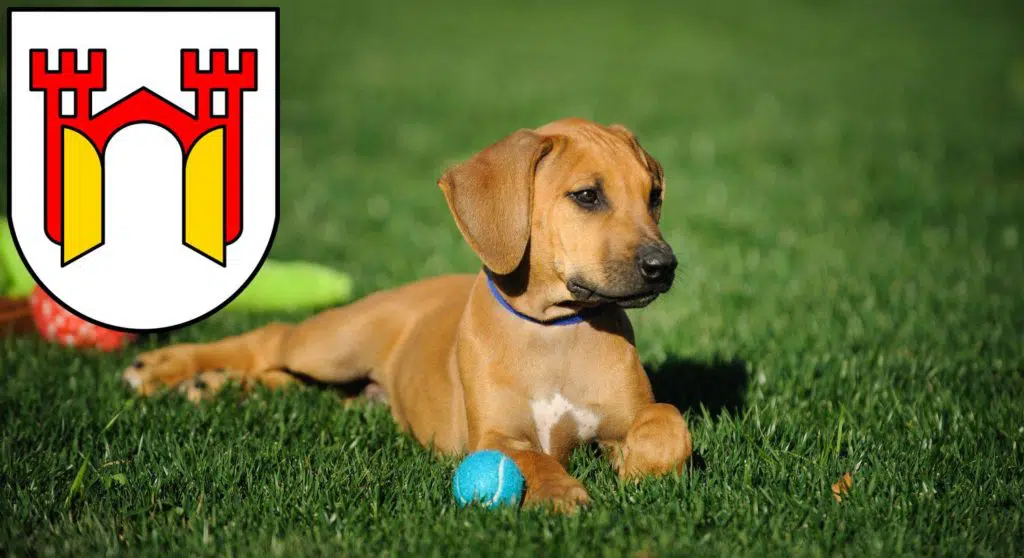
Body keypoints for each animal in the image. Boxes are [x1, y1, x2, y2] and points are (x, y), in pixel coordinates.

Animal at [123, 119, 692, 511]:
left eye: (653, 196)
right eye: (587, 196)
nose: (663, 266)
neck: (556, 329)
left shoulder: (629, 414)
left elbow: (668, 422)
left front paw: (640, 467)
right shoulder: (493, 433)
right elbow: (526, 456)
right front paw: (557, 493)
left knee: (286, 380)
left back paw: (208, 387)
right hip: (337, 343)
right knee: (272, 341)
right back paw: (163, 368)